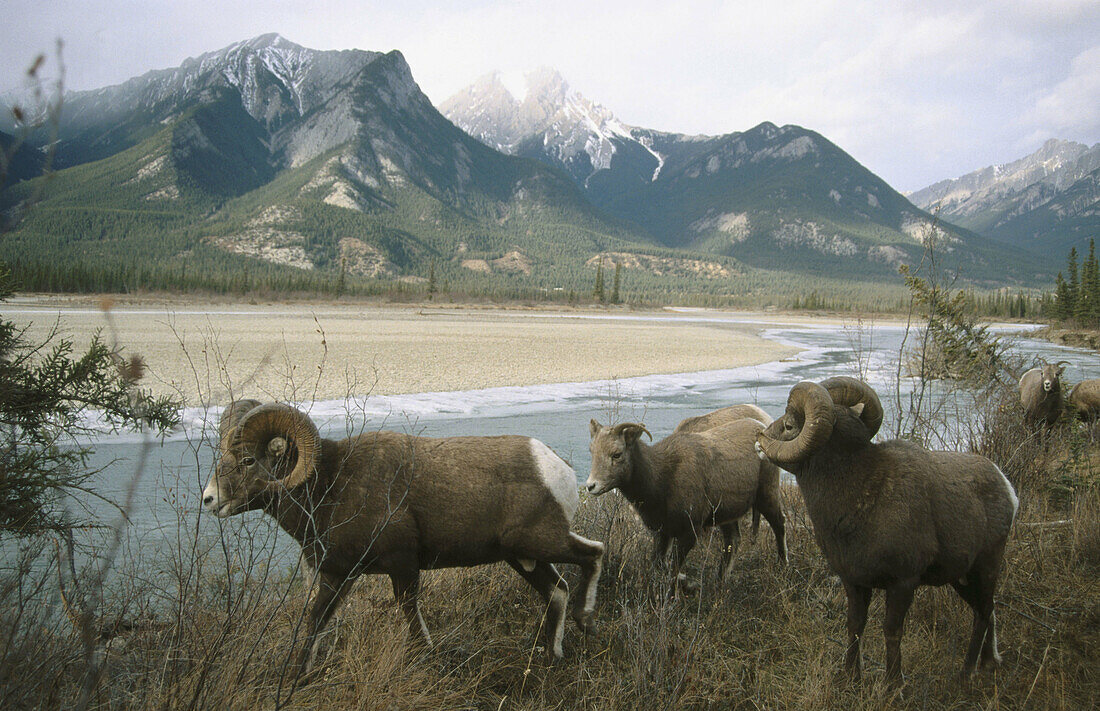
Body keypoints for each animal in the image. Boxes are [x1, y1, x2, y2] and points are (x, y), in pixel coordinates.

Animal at [202, 405, 607, 677]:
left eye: (249, 460)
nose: (209, 500)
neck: (331, 488)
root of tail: (557, 468)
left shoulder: (403, 565)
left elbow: (411, 615)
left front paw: (426, 655)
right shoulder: (338, 576)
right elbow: (316, 621)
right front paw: (299, 676)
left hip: (540, 543)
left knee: (593, 554)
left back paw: (585, 621)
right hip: (522, 556)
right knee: (557, 590)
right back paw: (552, 655)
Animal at [589, 418, 787, 589]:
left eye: (617, 454)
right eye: (592, 451)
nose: (591, 486)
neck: (662, 480)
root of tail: (762, 429)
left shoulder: (690, 532)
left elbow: (673, 571)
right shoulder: (662, 533)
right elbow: (661, 565)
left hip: (766, 496)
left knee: (779, 524)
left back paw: (783, 566)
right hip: (727, 515)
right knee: (733, 540)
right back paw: (720, 581)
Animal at [752, 378, 1016, 686]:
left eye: (790, 425)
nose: (758, 440)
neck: (859, 493)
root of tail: (1005, 486)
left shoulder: (903, 583)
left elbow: (892, 632)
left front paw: (893, 686)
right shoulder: (854, 581)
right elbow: (855, 625)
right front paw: (850, 678)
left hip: (985, 568)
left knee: (984, 614)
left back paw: (967, 673)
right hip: (961, 579)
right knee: (987, 611)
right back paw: (988, 664)